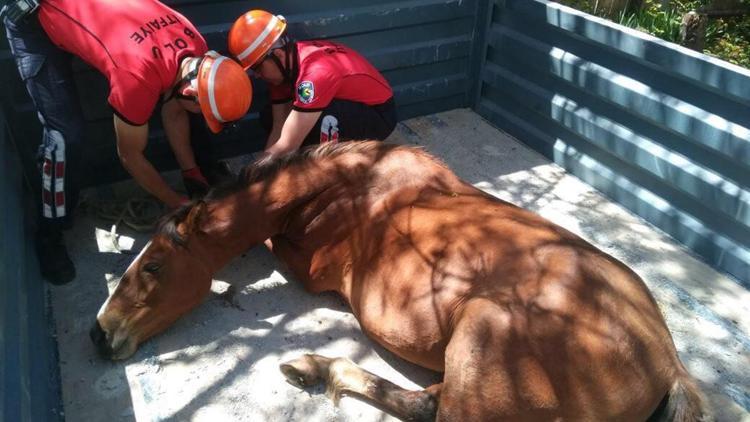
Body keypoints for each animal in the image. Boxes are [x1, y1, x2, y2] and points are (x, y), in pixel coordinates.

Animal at [91, 141, 712, 418]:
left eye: (153, 266)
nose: (100, 333)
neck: (349, 184)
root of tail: (668, 364)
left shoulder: (309, 269)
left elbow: (266, 244)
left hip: (482, 335)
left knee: (431, 409)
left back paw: (322, 368)